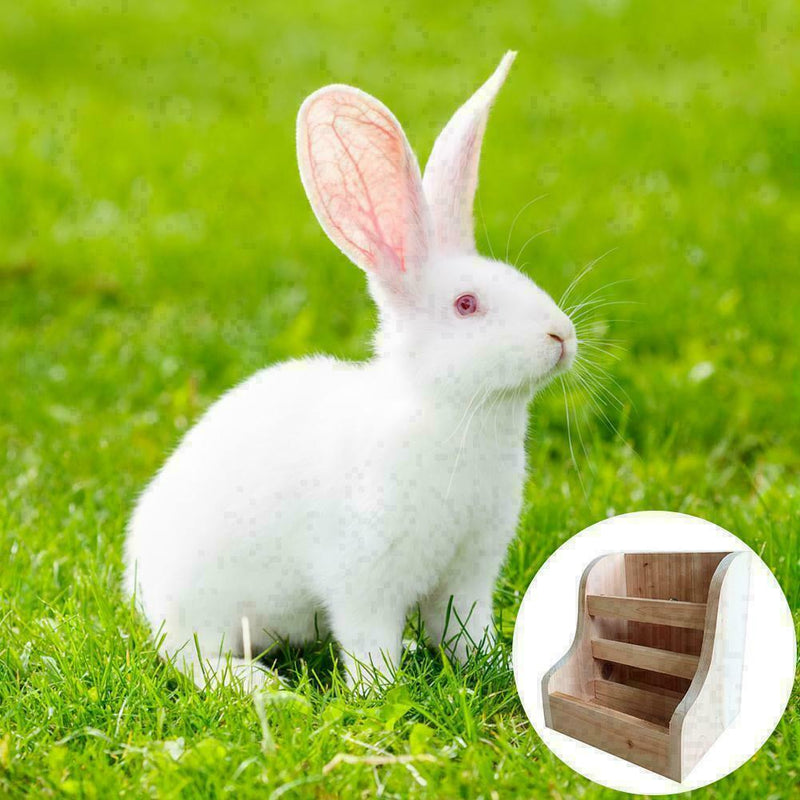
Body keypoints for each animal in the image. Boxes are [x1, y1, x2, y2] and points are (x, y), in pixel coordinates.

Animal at [124, 51, 577, 692]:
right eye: (467, 305)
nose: (561, 335)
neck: (449, 413)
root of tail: (139, 583)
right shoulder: (364, 579)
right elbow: (368, 641)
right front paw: (382, 690)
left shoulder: (467, 575)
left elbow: (462, 631)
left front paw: (489, 665)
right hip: (203, 611)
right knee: (191, 657)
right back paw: (266, 691)